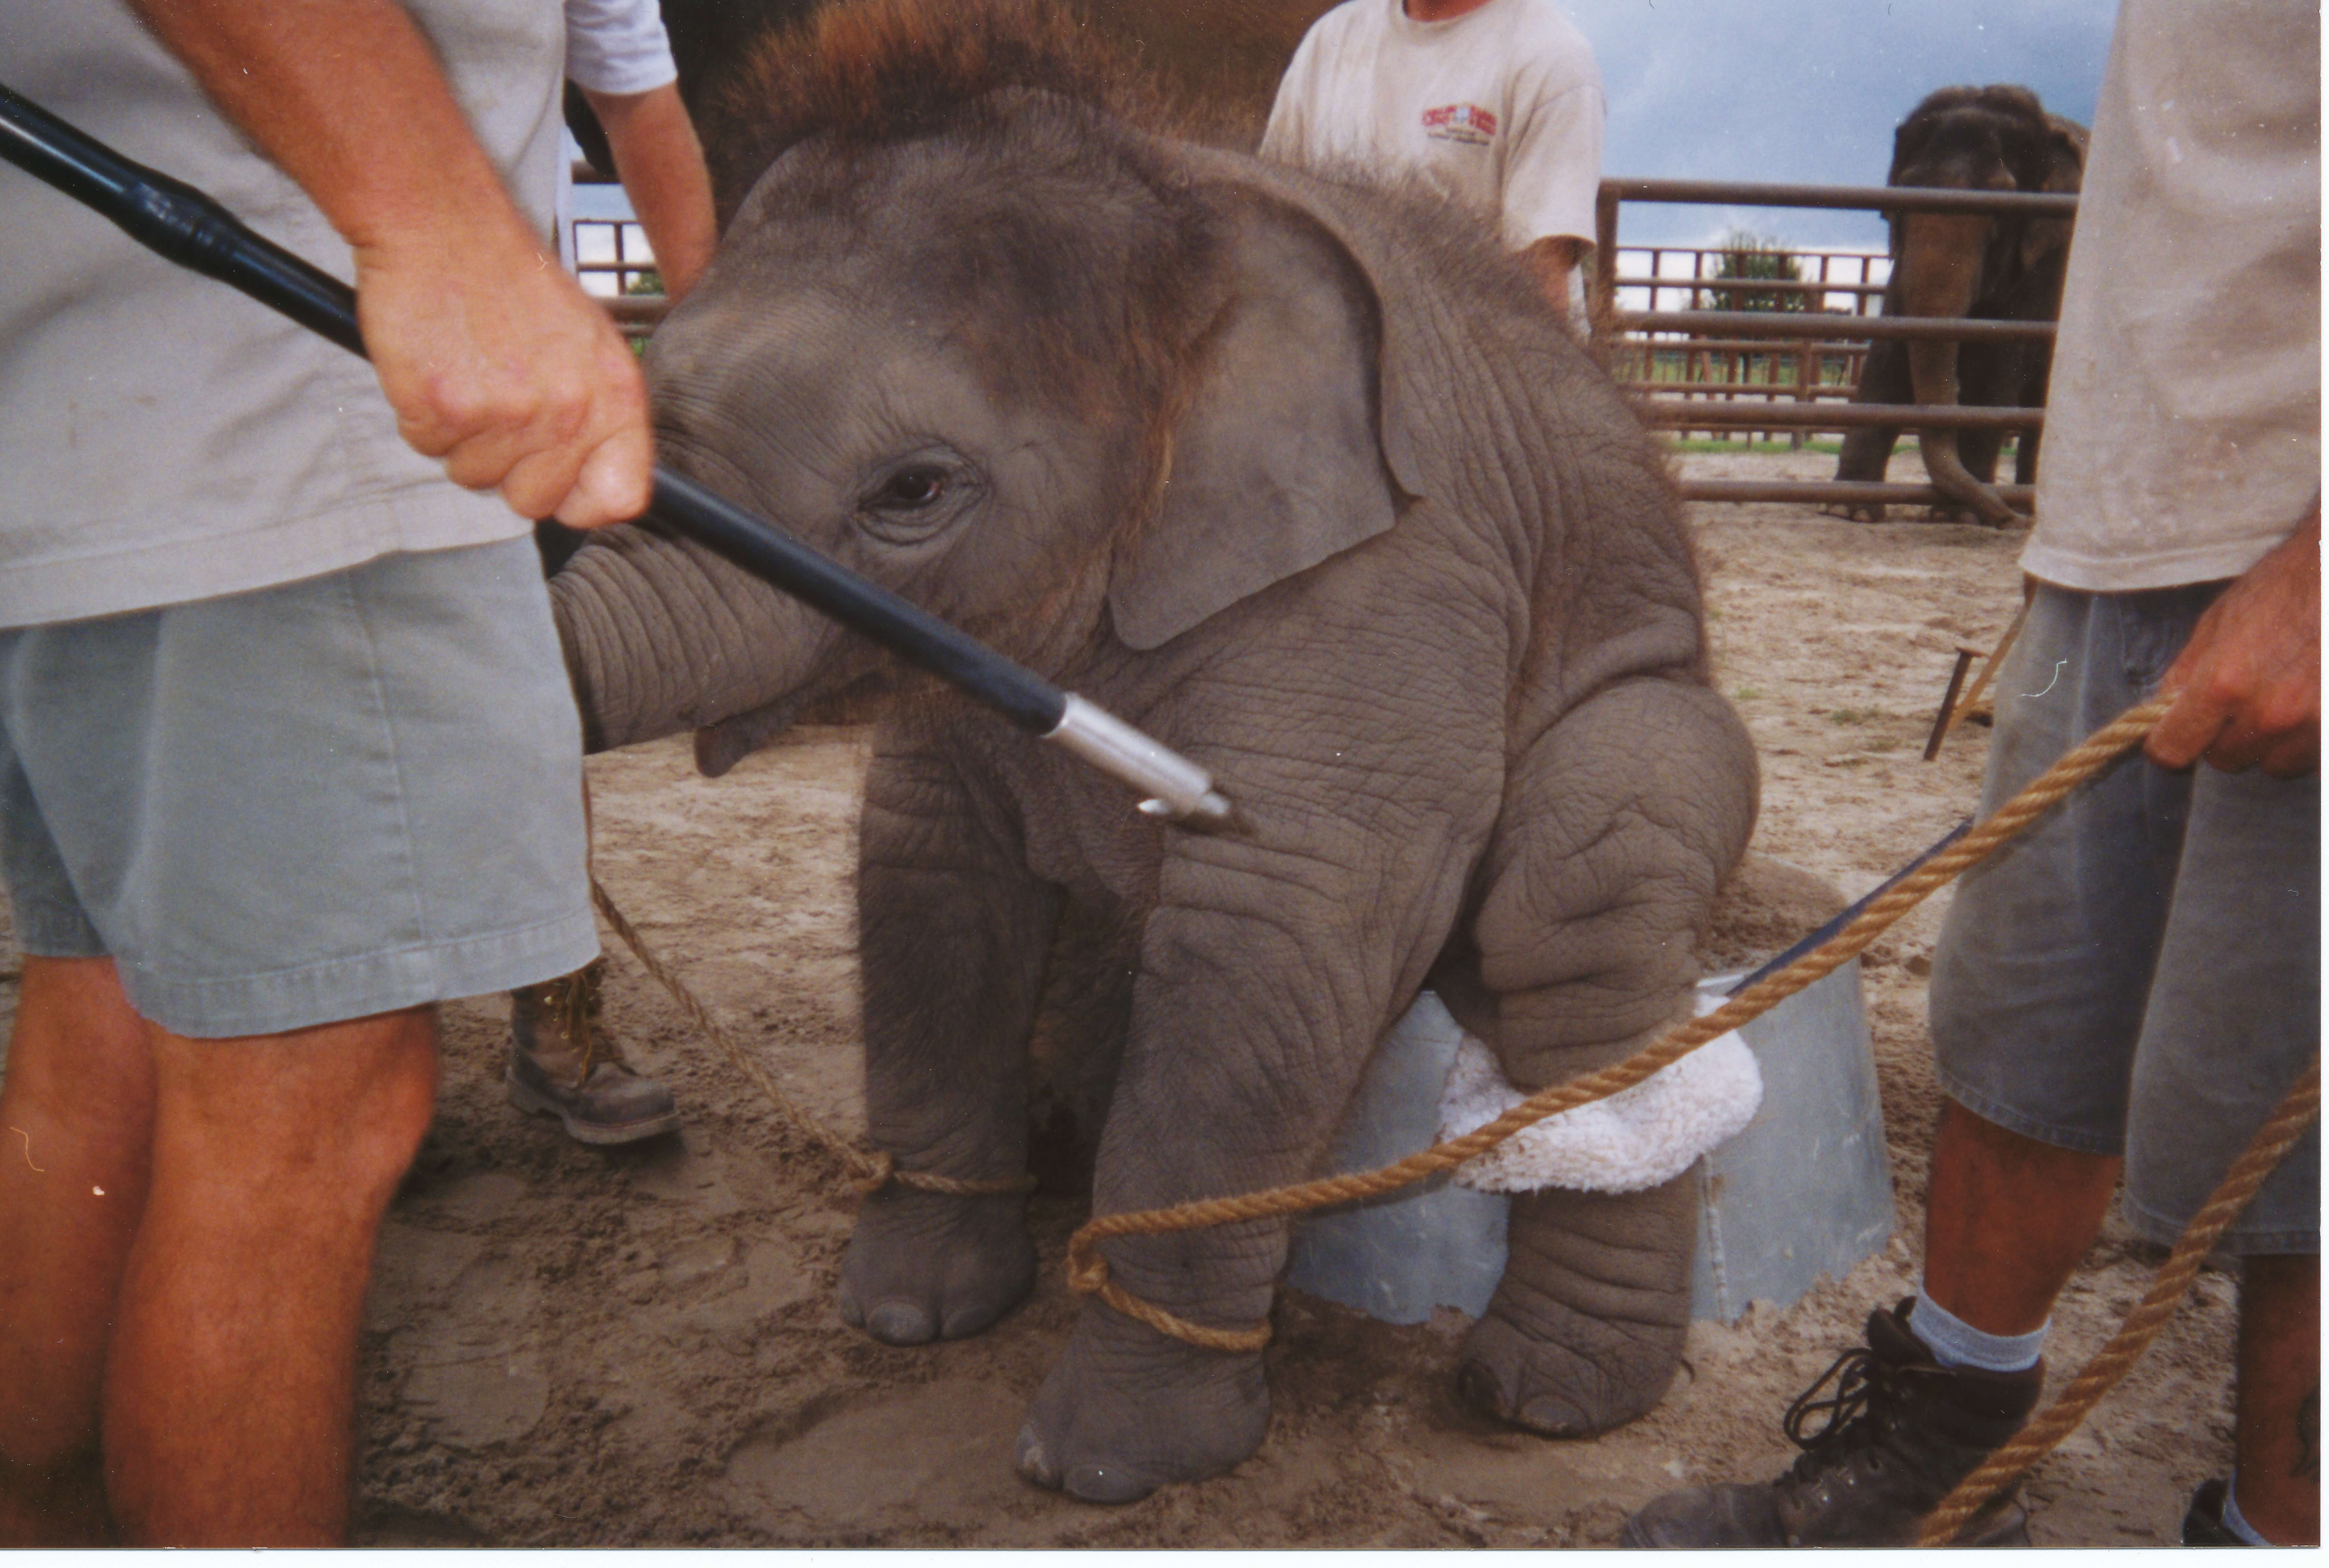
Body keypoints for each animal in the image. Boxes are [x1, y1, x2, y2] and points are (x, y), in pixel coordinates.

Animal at [549, 0, 1751, 1500]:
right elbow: (927, 879)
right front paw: (907, 1318)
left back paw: (1546, 1397)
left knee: (1584, 898)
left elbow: (1275, 936)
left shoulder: (1396, 580)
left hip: (1660, 699)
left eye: (913, 491)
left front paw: (1108, 1463)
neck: (1181, 212)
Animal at [1835, 85, 2096, 526]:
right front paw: (1850, 510)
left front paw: (1954, 517)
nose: (2006, 521)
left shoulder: (2051, 259)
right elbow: (1888, 356)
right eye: (1903, 194)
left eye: (2002, 208)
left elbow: (1996, 369)